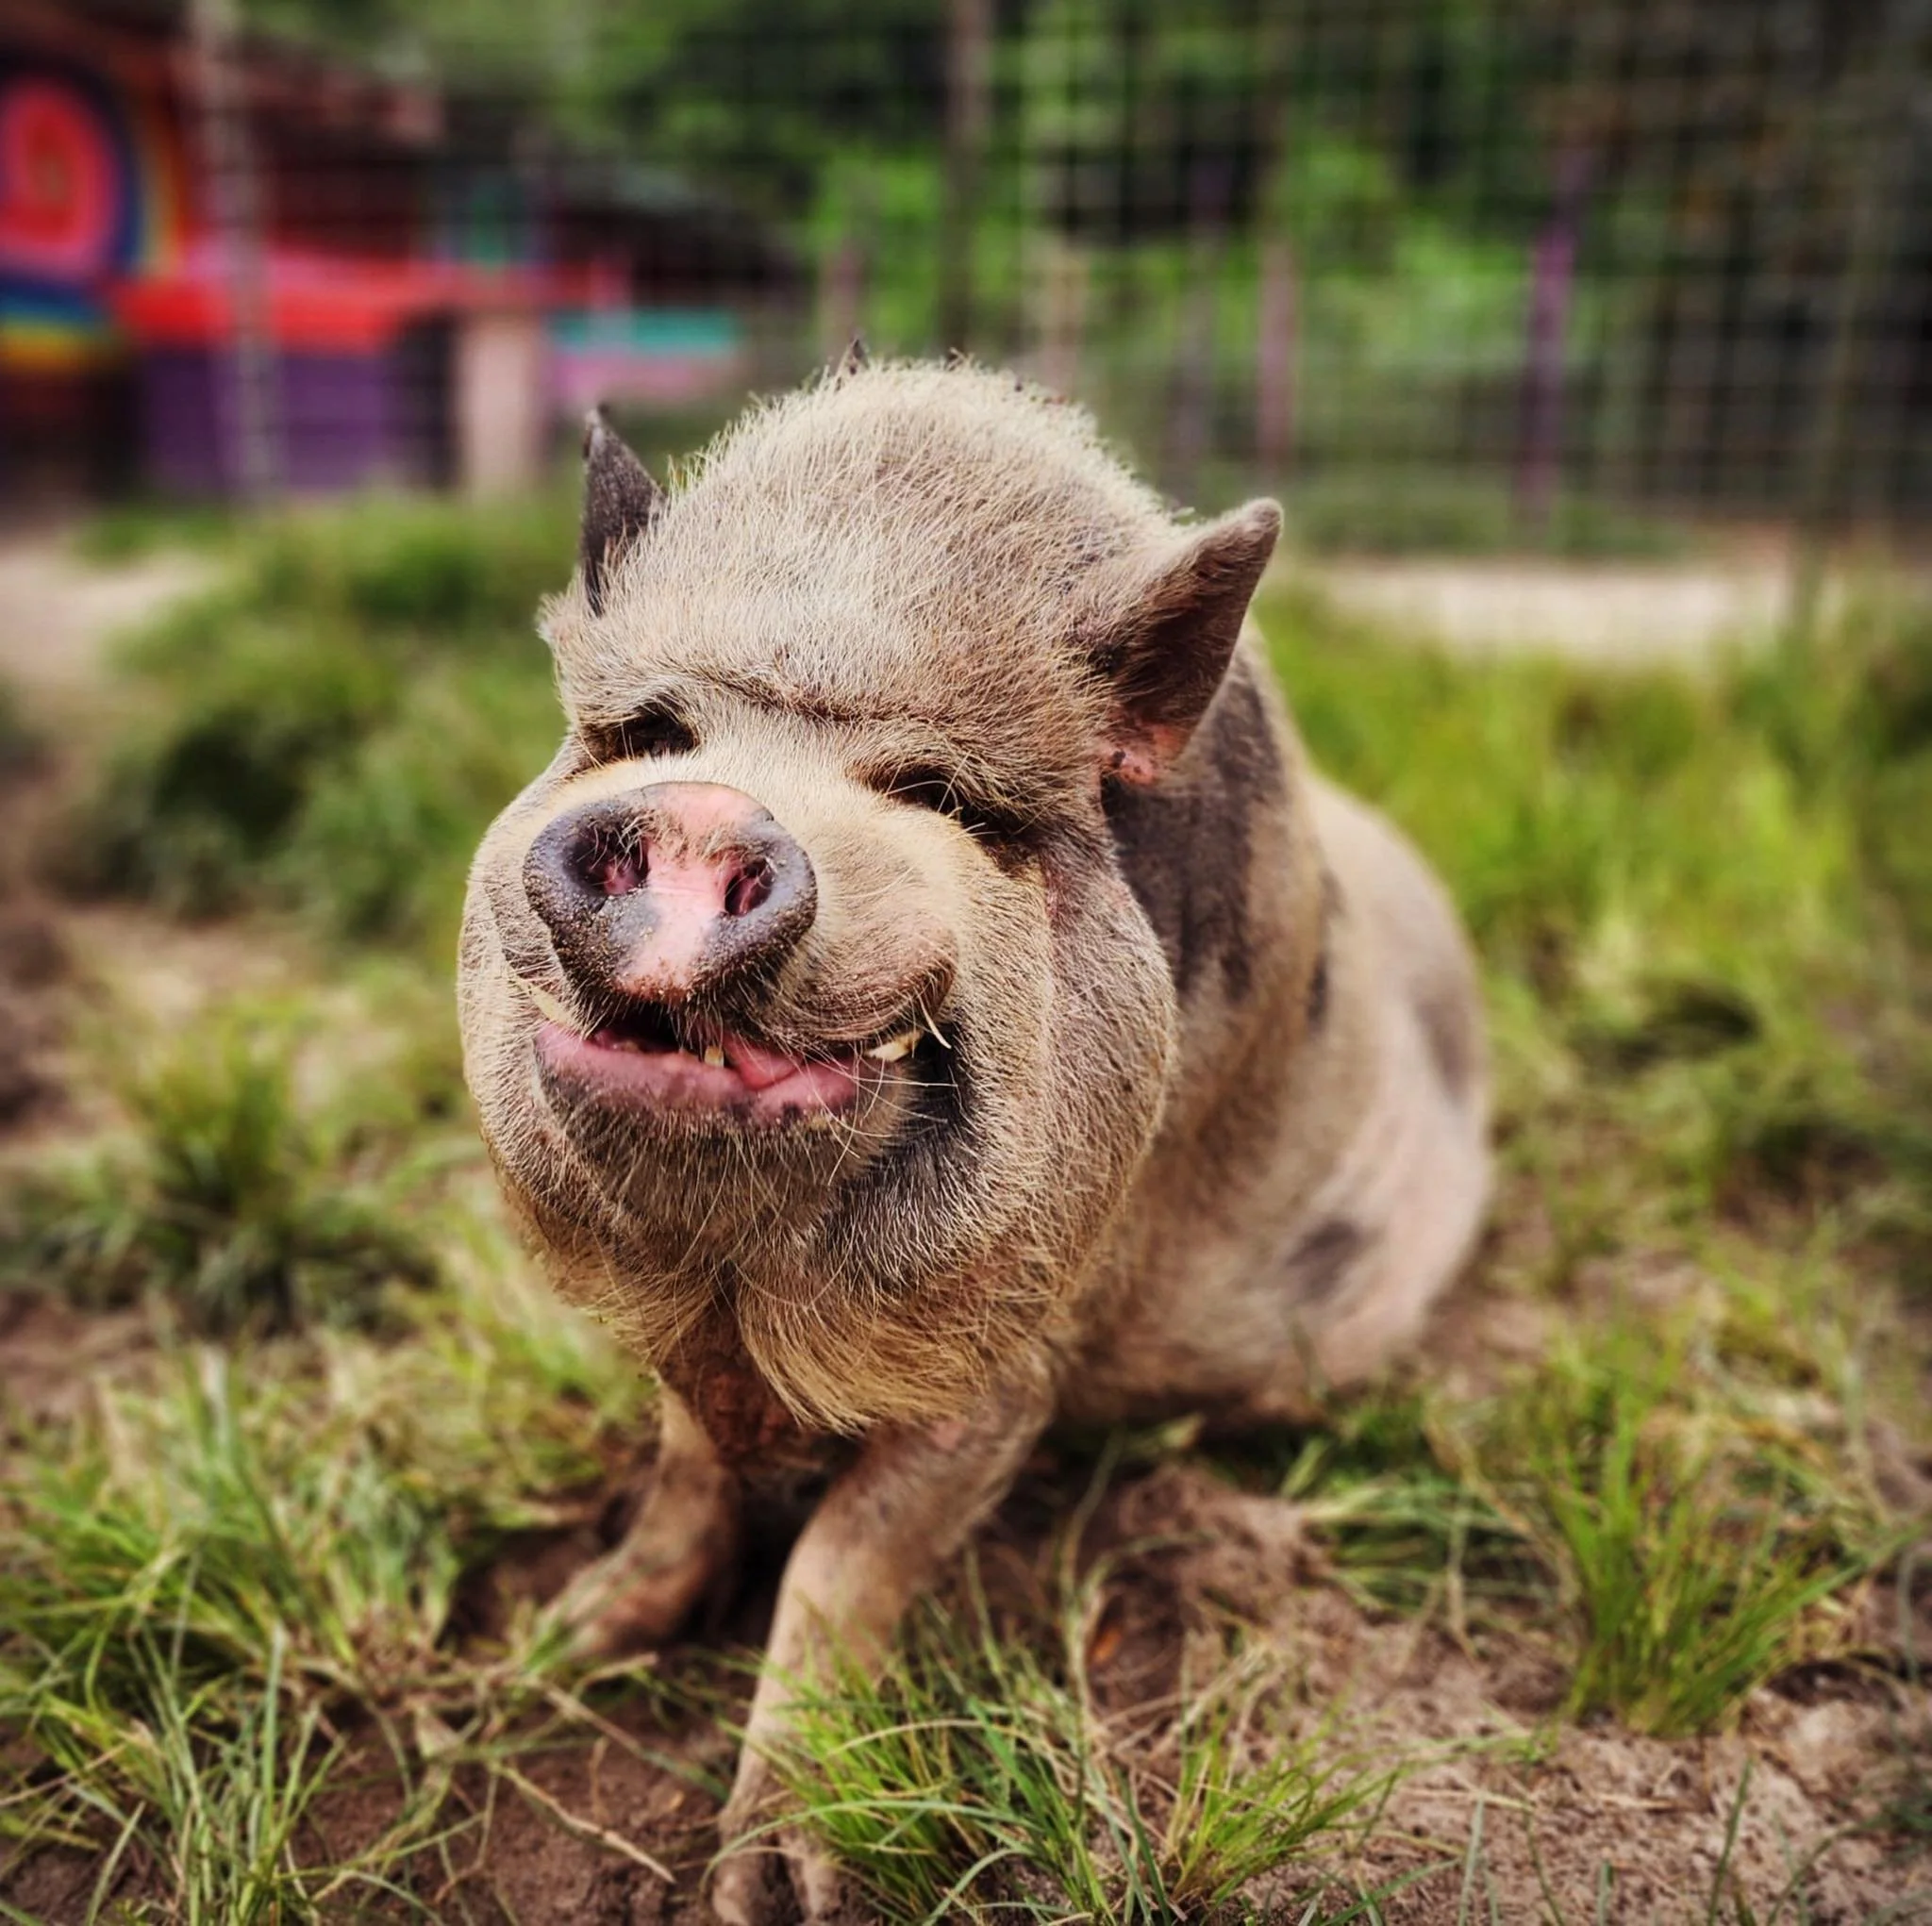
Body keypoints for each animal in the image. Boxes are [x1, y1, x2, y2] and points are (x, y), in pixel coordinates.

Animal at [458, 354, 1490, 1923]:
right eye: (649, 739)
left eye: (940, 797)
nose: (700, 814)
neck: (739, 1285)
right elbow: (687, 1468)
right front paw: (553, 1651)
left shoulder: (1024, 1342)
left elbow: (845, 1557)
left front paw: (773, 1895)